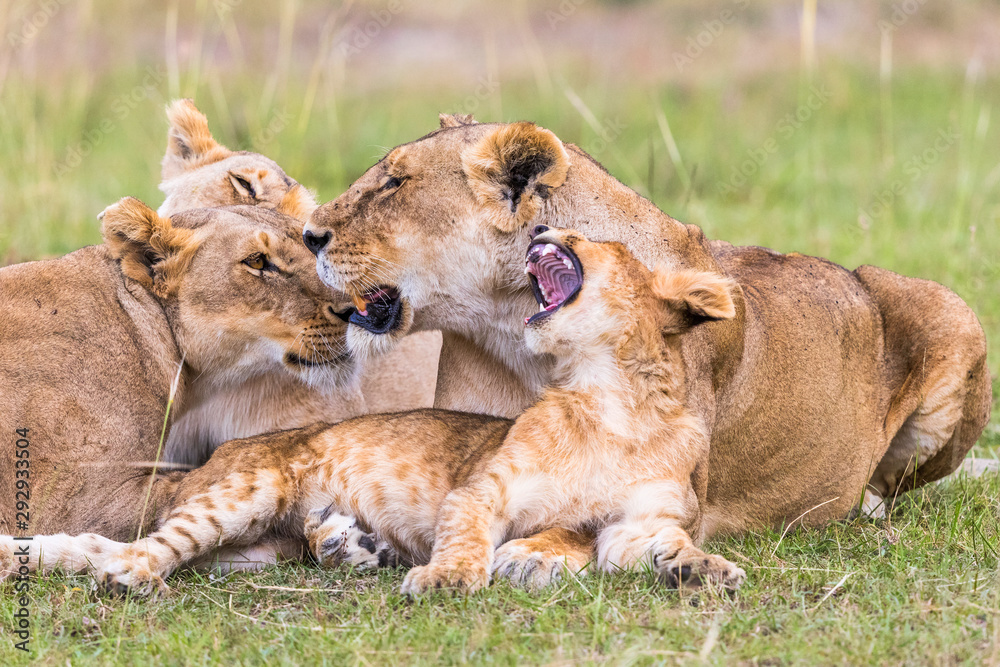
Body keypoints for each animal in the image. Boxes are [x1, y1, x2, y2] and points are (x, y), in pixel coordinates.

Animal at [13, 226, 746, 597]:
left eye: (600, 242)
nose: (541, 222)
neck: (617, 408)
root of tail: (214, 458)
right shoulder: (482, 489)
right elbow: (468, 532)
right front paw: (449, 577)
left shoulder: (632, 522)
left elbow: (649, 542)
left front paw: (702, 570)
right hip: (245, 492)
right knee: (143, 548)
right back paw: (128, 576)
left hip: (253, 549)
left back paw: (349, 544)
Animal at [299, 114, 991, 583]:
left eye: (395, 183)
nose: (308, 235)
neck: (515, 330)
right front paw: (347, 537)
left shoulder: (680, 493)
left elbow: (593, 519)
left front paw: (535, 552)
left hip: (953, 313)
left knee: (888, 488)